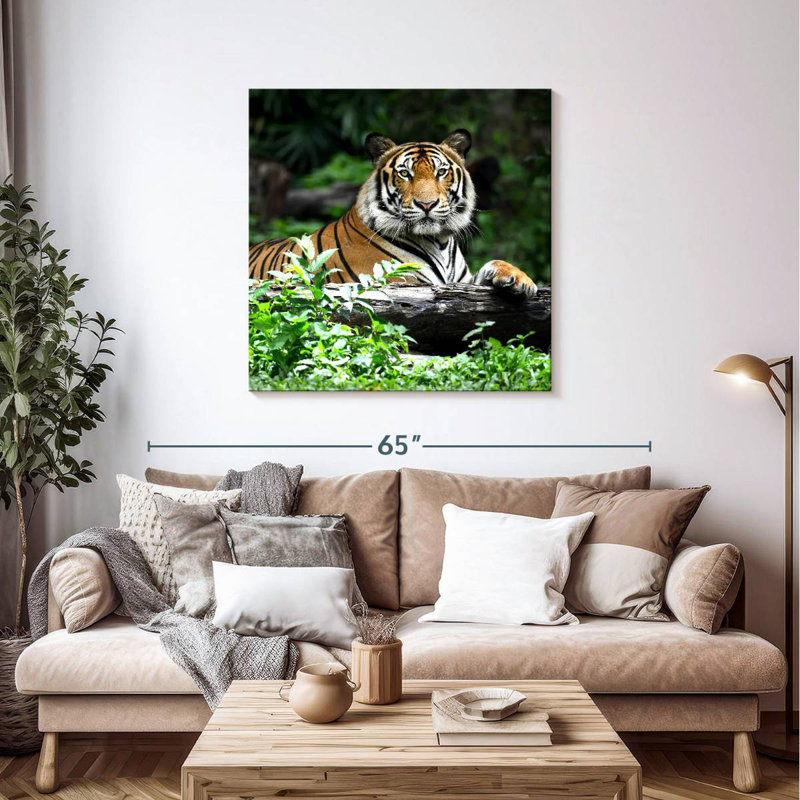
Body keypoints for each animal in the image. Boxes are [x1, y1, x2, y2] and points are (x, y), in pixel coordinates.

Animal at [249, 129, 537, 298]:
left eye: (441, 172)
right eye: (405, 173)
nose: (427, 204)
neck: (440, 241)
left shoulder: (460, 281)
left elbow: (494, 263)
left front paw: (520, 280)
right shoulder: (402, 281)